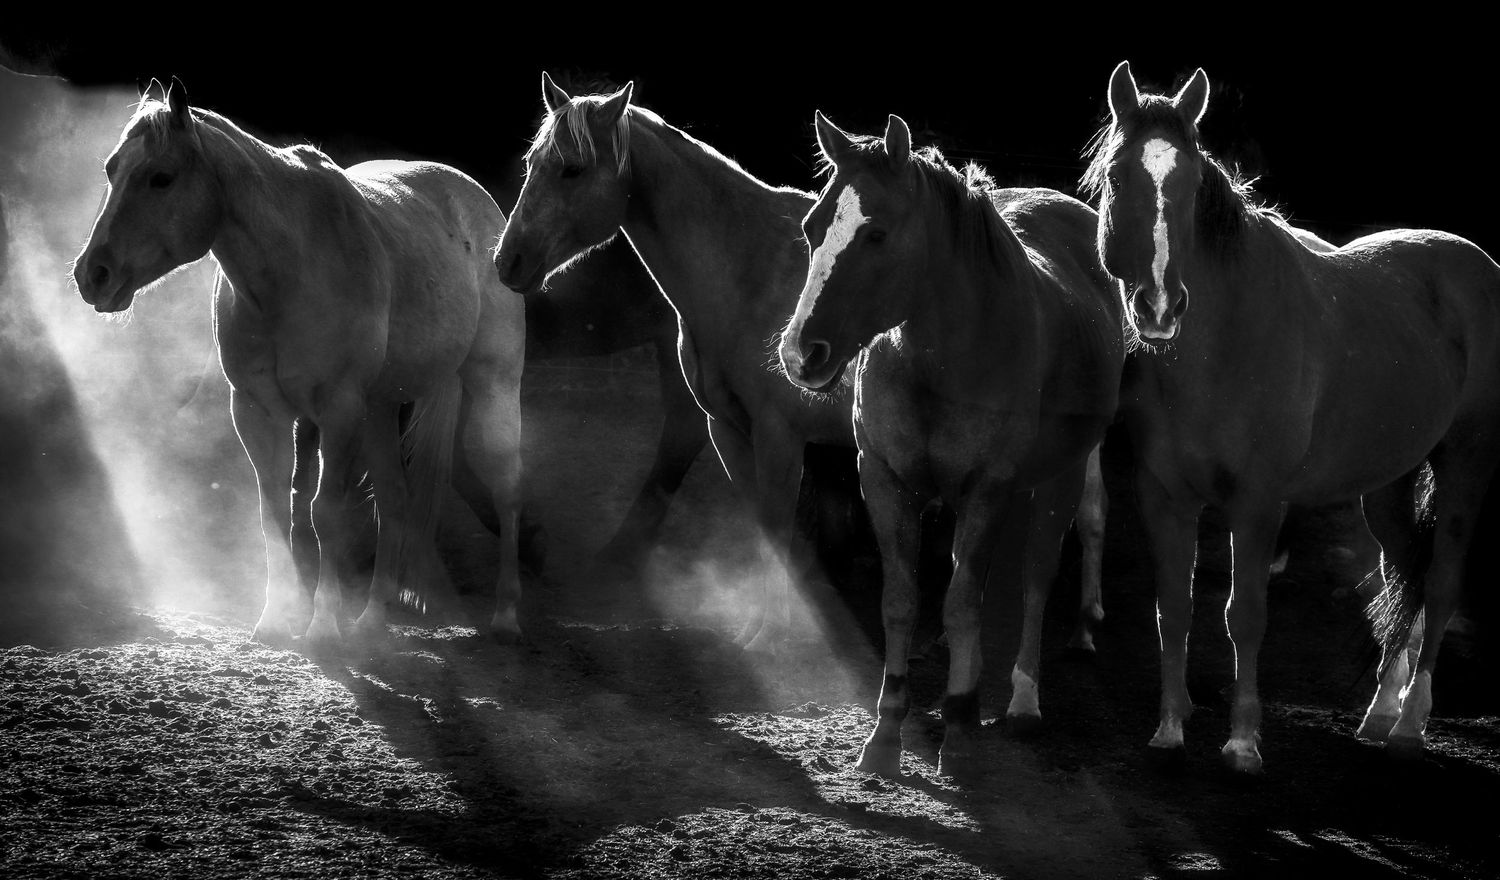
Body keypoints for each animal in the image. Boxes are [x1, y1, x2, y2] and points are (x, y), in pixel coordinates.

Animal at [73, 80, 527, 651]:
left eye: (161, 177)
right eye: (112, 170)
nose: (93, 274)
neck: (289, 268)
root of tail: (477, 203)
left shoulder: (338, 410)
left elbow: (324, 511)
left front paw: (322, 627)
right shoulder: (258, 411)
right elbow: (274, 513)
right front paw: (276, 619)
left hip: (490, 389)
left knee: (506, 489)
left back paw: (506, 617)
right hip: (381, 410)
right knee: (396, 501)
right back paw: (371, 622)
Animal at [779, 113, 1125, 775]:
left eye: (877, 234)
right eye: (813, 228)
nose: (800, 352)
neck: (939, 358)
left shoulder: (987, 490)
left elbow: (965, 601)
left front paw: (961, 728)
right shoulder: (883, 479)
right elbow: (901, 600)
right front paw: (886, 731)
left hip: (1061, 475)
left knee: (1036, 575)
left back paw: (1023, 700)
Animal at [1086, 61, 1500, 772]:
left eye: (1191, 187)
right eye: (1118, 178)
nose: (1161, 306)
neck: (1222, 343)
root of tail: (1478, 265)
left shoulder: (1258, 501)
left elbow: (1244, 614)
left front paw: (1243, 741)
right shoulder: (1163, 494)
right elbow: (1174, 609)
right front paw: (1169, 728)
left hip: (1465, 465)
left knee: (1442, 583)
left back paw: (1411, 723)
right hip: (1386, 484)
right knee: (1403, 577)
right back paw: (1378, 713)